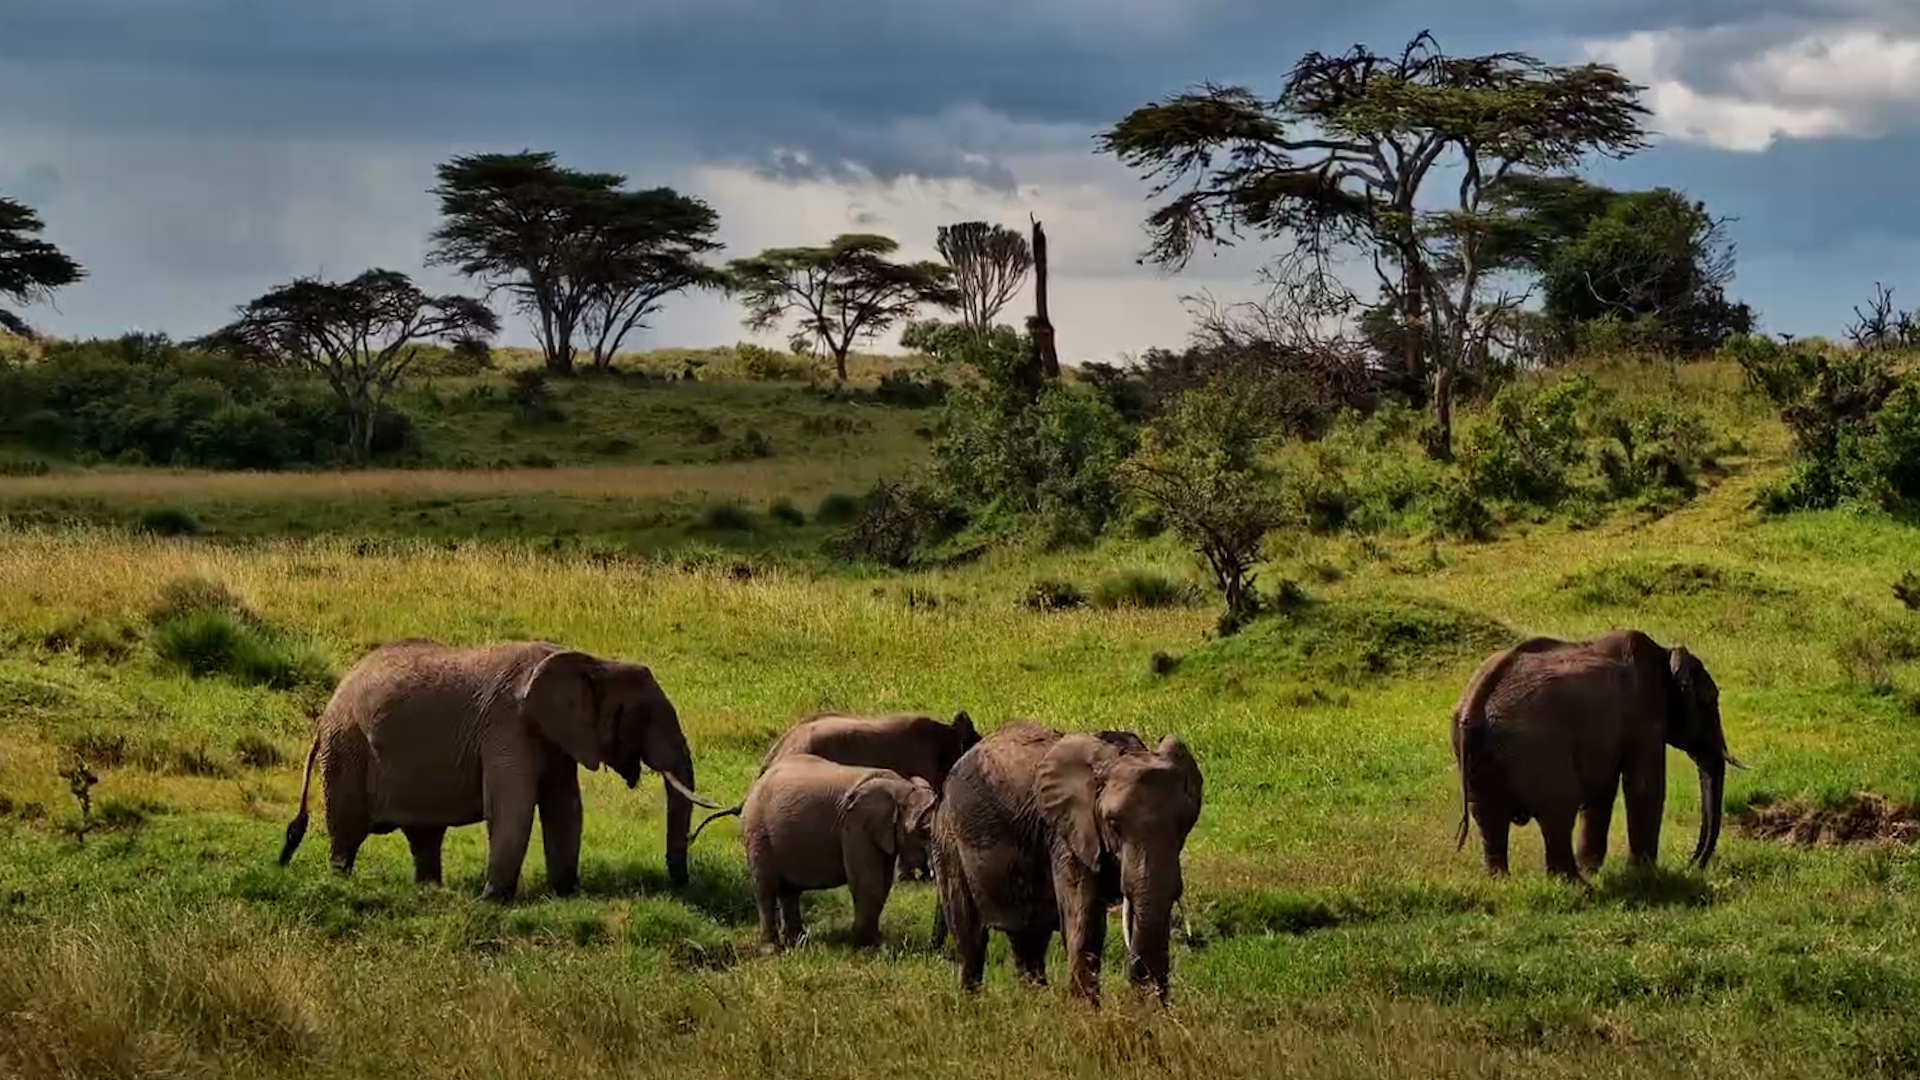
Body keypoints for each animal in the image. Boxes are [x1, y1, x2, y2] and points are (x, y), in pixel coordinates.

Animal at [279, 638, 721, 901]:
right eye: (642, 717)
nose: (681, 885)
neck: (593, 662)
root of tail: (327, 709)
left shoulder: (555, 737)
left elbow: (565, 808)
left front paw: (565, 894)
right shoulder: (507, 726)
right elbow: (514, 808)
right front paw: (492, 900)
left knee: (424, 835)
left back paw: (431, 892)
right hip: (346, 749)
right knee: (347, 831)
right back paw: (340, 883)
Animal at [741, 752, 938, 950]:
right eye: (924, 829)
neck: (902, 787)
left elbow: (883, 883)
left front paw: (874, 942)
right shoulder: (856, 827)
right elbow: (867, 882)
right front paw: (870, 945)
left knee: (789, 890)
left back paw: (799, 945)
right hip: (757, 833)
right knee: (766, 889)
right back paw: (771, 949)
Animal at [931, 720, 1203, 1004]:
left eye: (1186, 823)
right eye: (1113, 824)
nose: (1144, 1000)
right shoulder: (1066, 834)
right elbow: (1085, 918)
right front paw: (1086, 1013)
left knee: (1028, 940)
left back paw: (1035, 1004)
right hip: (947, 838)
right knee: (969, 936)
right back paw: (971, 1005)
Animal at [1451, 628, 1747, 881]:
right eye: (1710, 700)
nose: (1691, 865)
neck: (1665, 654)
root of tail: (1475, 701)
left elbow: (1603, 791)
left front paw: (1594, 868)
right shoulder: (1644, 714)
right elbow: (1645, 787)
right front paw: (1643, 875)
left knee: (1488, 815)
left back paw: (1502, 881)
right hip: (1535, 746)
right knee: (1558, 808)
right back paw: (1576, 883)